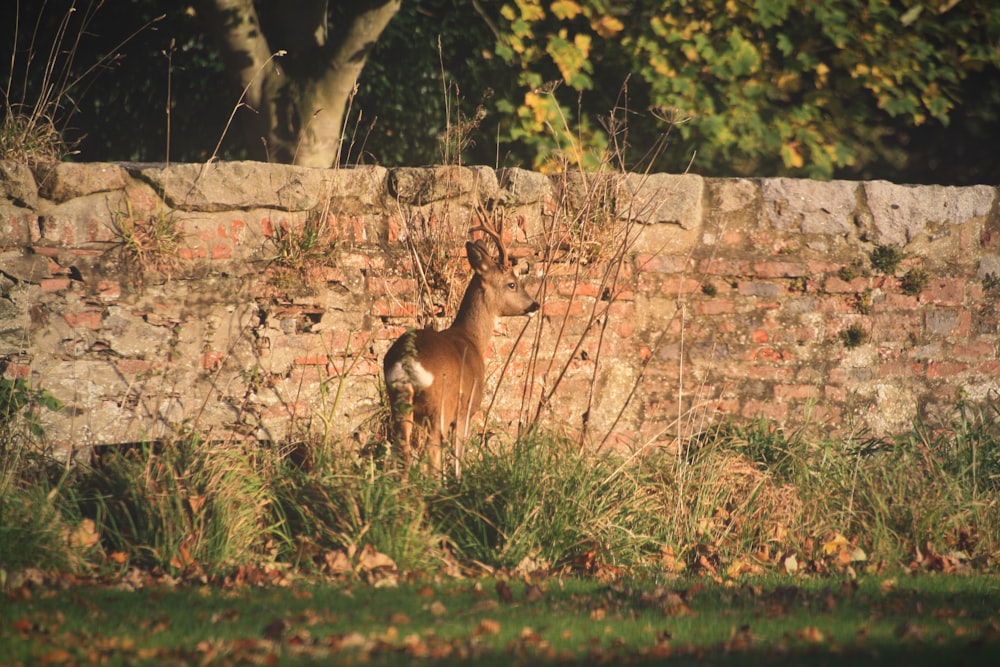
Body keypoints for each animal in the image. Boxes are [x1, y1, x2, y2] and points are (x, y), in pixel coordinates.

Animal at [382, 222, 540, 478]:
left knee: (403, 451)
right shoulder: (466, 408)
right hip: (438, 405)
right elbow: (458, 455)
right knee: (432, 452)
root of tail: (407, 362)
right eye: (512, 284)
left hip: (399, 400)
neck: (472, 338)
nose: (535, 305)